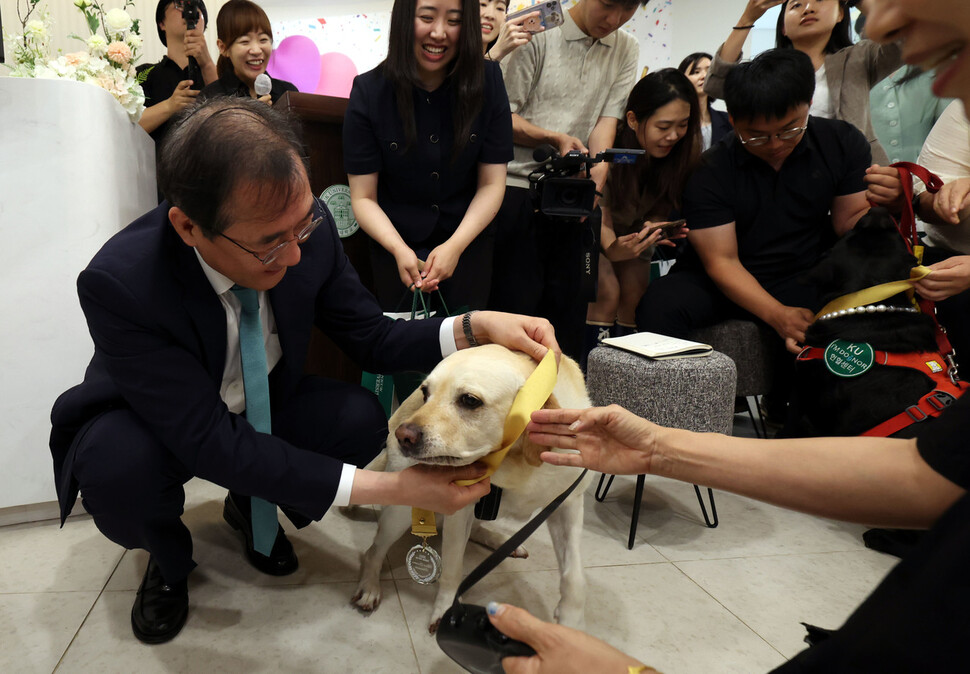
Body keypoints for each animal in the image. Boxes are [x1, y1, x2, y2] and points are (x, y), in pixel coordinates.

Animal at [354, 344, 588, 632]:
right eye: (426, 393)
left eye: (469, 400)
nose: (403, 436)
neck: (514, 464)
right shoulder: (458, 509)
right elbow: (452, 566)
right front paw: (445, 609)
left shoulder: (568, 504)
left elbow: (575, 577)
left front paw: (571, 621)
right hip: (400, 511)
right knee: (373, 551)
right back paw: (369, 587)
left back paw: (501, 541)